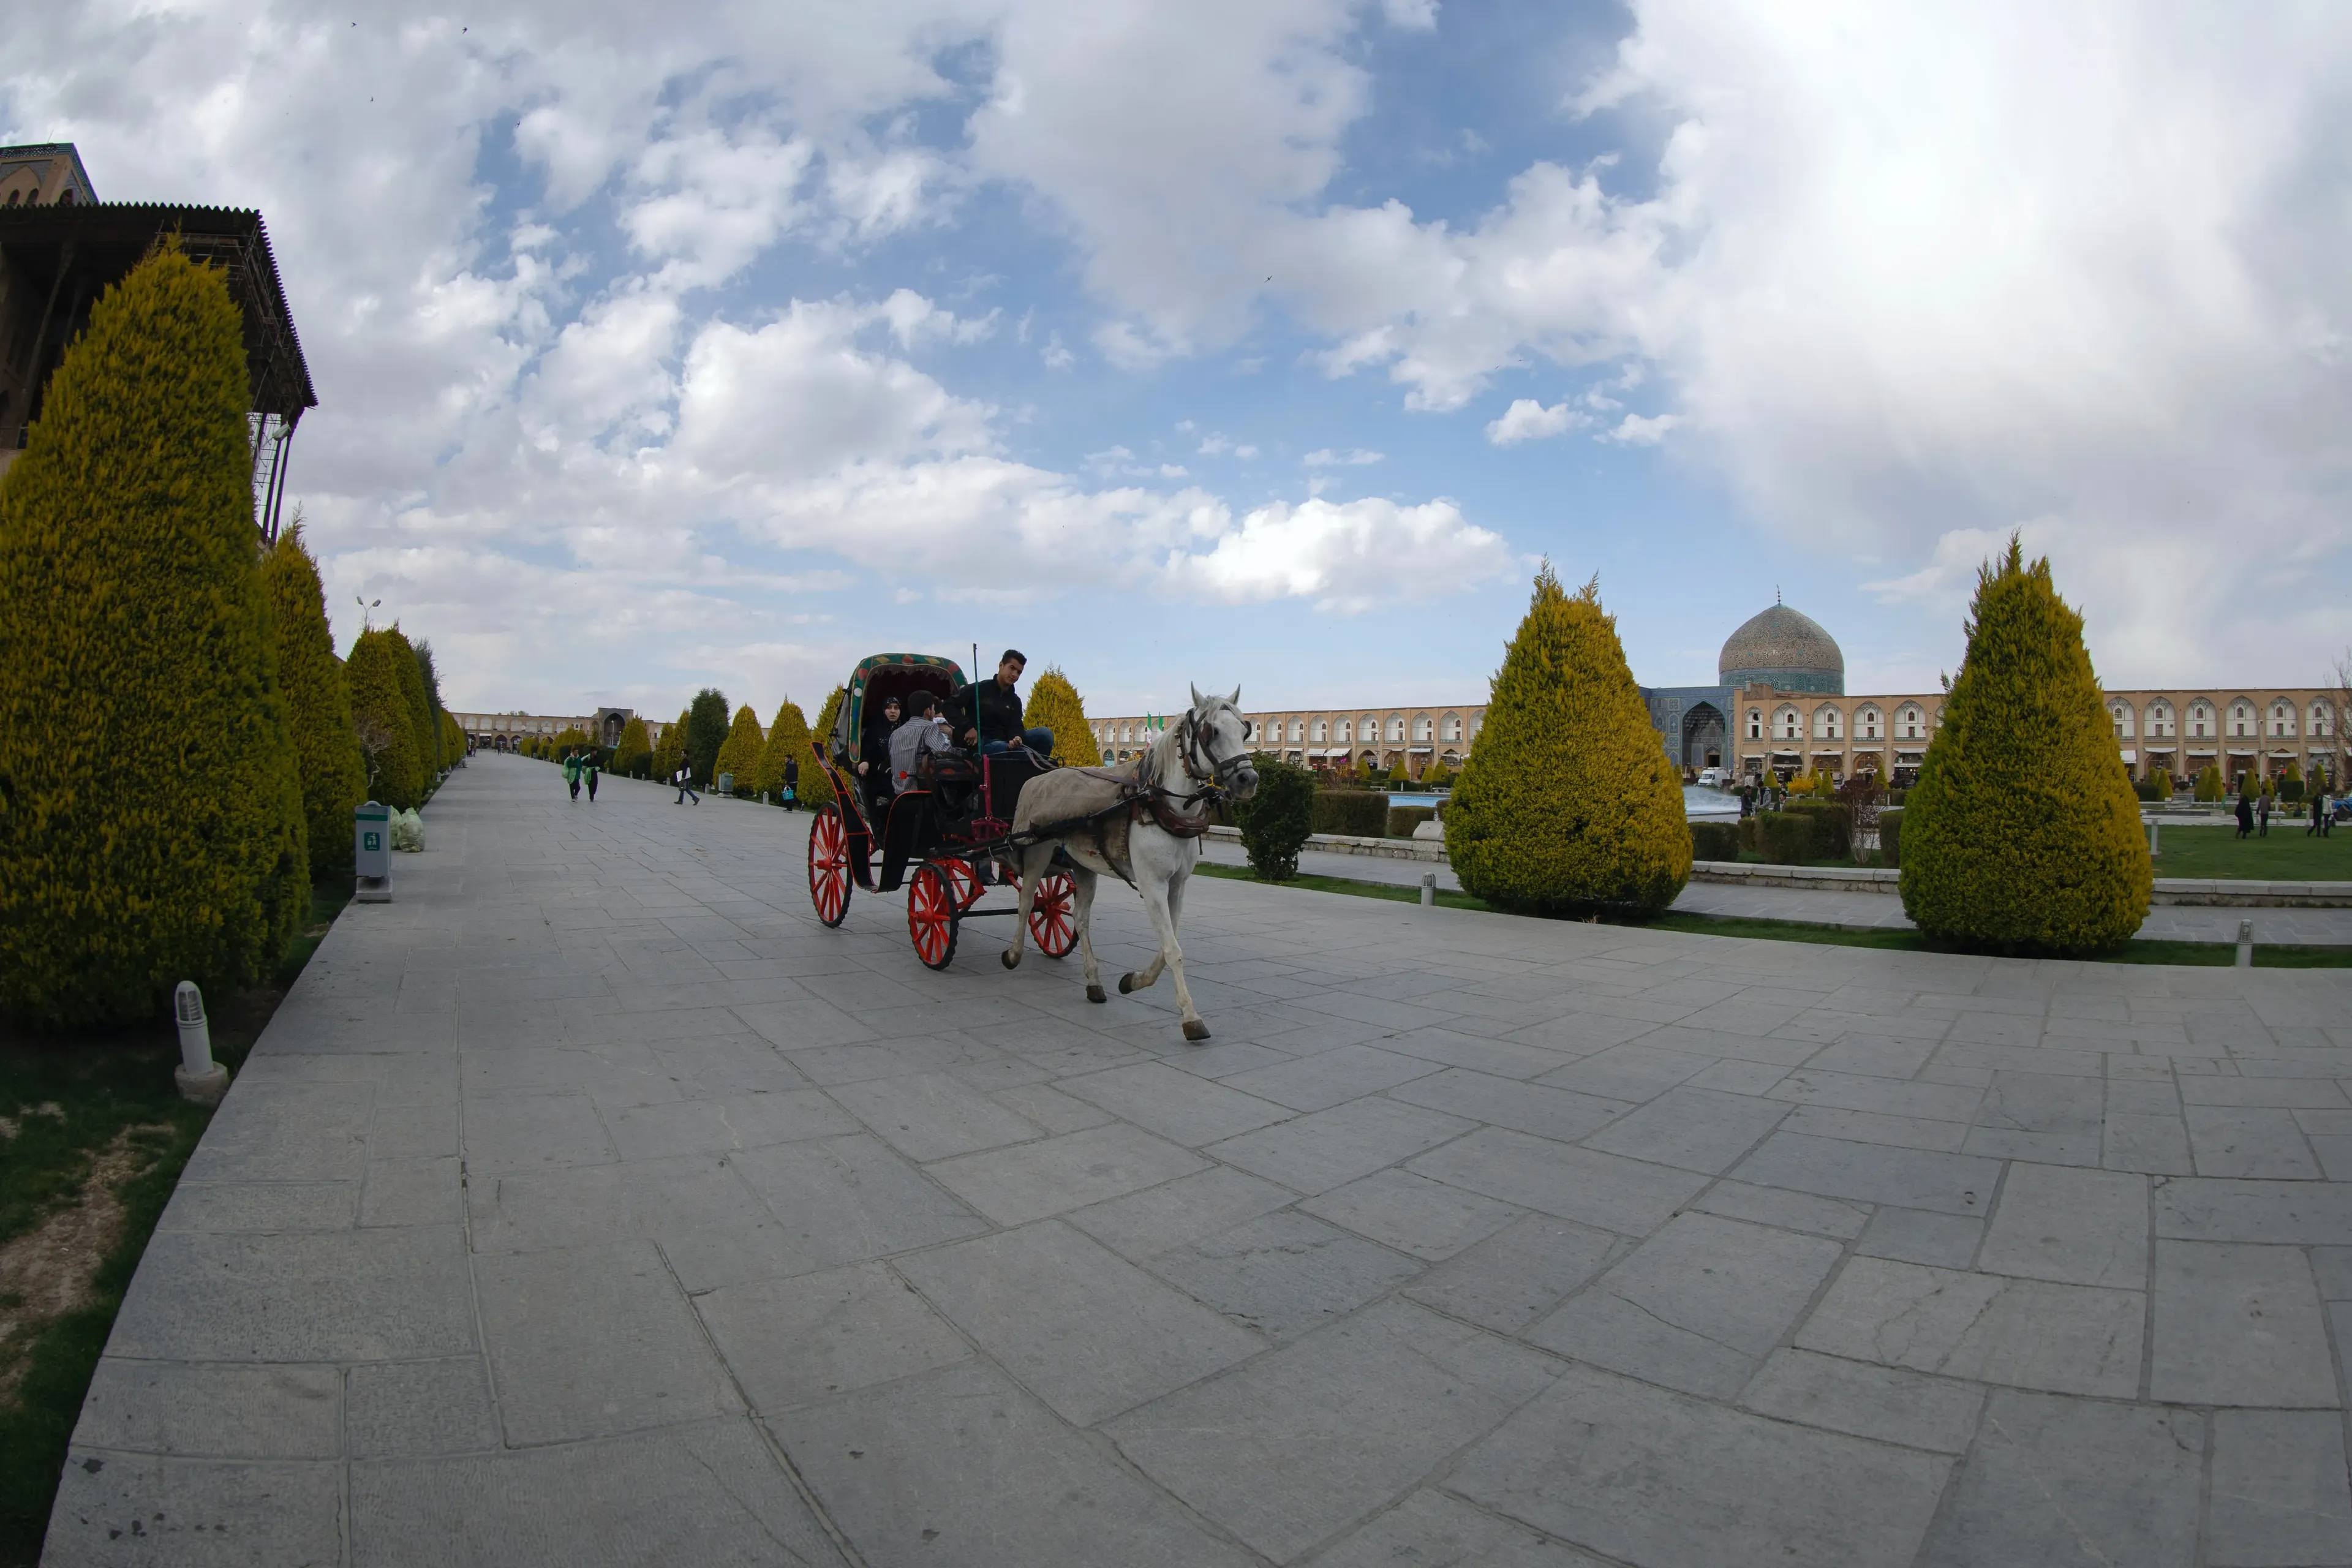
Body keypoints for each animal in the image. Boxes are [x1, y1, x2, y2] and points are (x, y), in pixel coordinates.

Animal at [992, 686, 1261, 1044]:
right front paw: (1191, 1018)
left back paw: (1094, 981)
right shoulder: (1152, 884)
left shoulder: (1177, 885)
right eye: (1211, 732)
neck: (1161, 804)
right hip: (1037, 849)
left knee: (1079, 917)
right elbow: (1173, 949)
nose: (1248, 779)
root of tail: (1040, 777)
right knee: (1025, 903)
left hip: (1082, 863)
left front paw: (1132, 981)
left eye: (1245, 731)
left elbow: (1168, 945)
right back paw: (1014, 954)